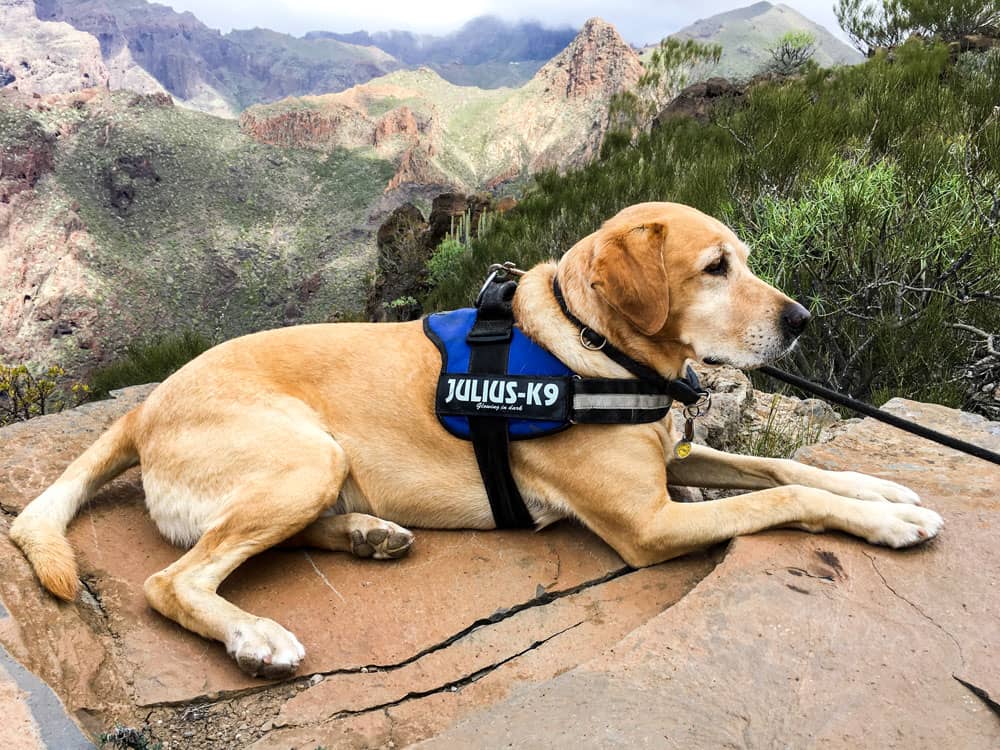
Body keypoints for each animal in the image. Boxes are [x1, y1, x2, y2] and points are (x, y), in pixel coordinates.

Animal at [11, 204, 940, 680]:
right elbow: (788, 495)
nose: (802, 320)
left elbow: (780, 464)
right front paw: (889, 521)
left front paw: (884, 488)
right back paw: (255, 636)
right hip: (303, 457)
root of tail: (144, 408)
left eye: (742, 259)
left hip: (315, 472)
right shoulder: (648, 524)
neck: (596, 347)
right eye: (716, 268)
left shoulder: (677, 465)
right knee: (174, 579)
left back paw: (368, 534)